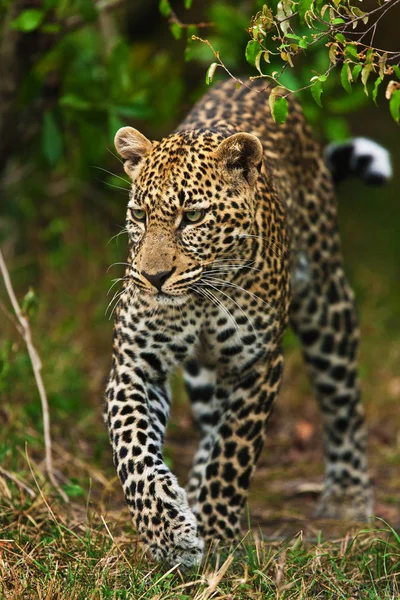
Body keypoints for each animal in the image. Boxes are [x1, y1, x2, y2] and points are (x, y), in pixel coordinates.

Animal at [103, 77, 390, 568]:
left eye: (192, 217)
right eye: (139, 215)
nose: (153, 278)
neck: (199, 296)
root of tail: (258, 82)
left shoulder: (258, 365)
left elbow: (234, 450)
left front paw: (218, 533)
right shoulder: (136, 363)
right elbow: (133, 451)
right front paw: (168, 532)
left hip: (327, 302)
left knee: (342, 398)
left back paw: (348, 494)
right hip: (203, 374)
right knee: (208, 424)